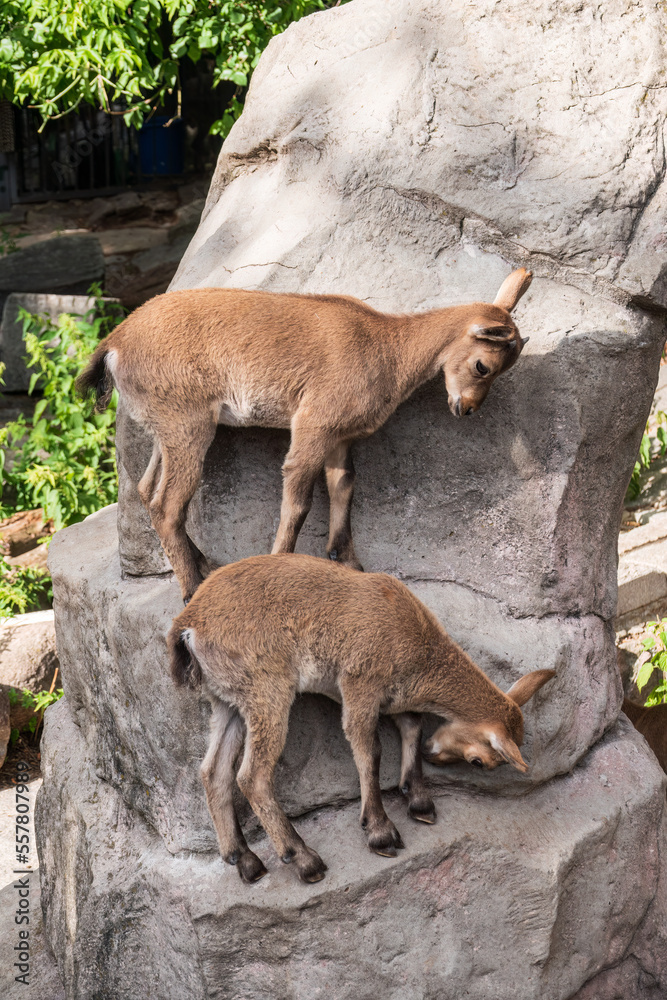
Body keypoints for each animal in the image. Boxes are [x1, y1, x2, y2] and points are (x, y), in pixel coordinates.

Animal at [77, 269, 533, 602]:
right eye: (483, 366)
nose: (466, 409)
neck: (387, 348)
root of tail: (114, 344)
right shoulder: (313, 424)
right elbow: (298, 502)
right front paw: (278, 567)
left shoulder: (341, 437)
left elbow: (343, 486)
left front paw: (348, 562)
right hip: (188, 424)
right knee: (169, 504)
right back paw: (192, 589)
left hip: (166, 429)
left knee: (146, 490)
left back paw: (203, 565)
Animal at [167, 552, 555, 884]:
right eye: (479, 761)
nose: (433, 754)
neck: (418, 646)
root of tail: (188, 627)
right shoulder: (360, 683)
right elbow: (370, 750)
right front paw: (381, 832)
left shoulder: (391, 696)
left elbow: (411, 725)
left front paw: (419, 800)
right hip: (267, 689)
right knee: (252, 776)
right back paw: (305, 860)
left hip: (227, 700)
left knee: (212, 770)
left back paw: (246, 861)